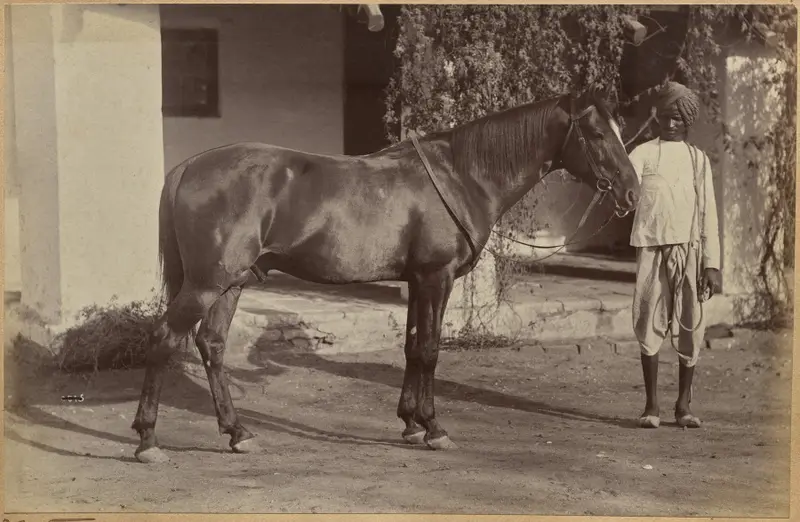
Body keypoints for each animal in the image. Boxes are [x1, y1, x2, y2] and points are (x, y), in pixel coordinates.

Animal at [131, 86, 640, 463]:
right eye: (597, 133)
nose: (632, 194)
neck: (461, 176)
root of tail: (189, 167)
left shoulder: (416, 281)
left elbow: (413, 347)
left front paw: (410, 423)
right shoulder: (437, 278)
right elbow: (431, 350)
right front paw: (434, 428)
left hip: (232, 283)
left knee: (212, 346)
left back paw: (238, 432)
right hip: (207, 284)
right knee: (163, 339)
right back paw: (148, 440)